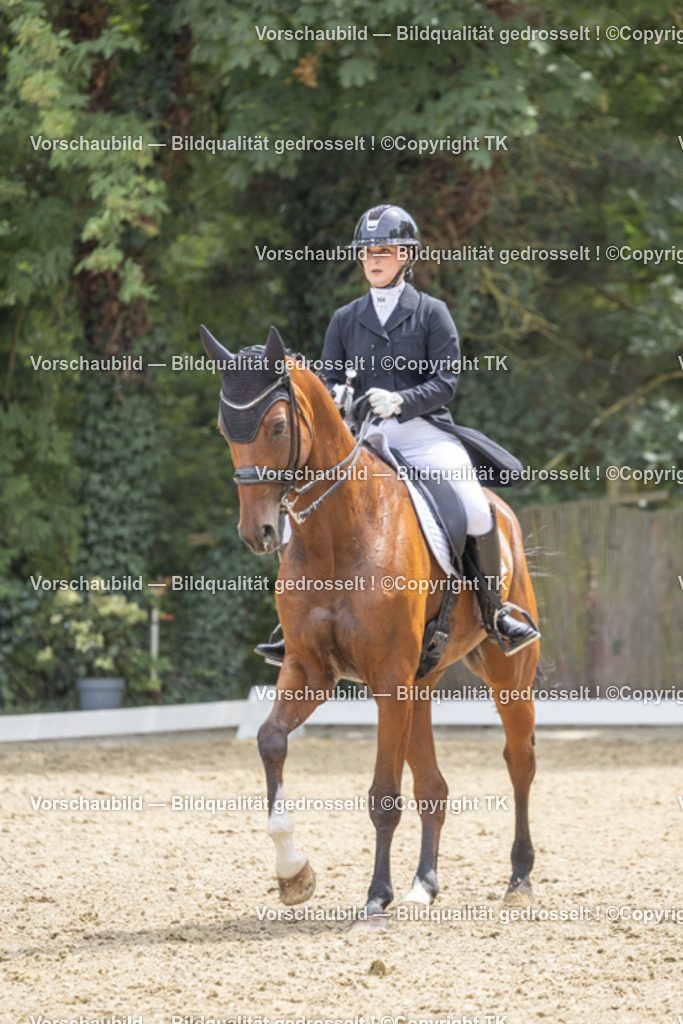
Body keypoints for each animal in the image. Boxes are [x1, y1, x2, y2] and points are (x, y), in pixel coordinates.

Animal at [200, 323, 539, 924]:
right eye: (224, 429)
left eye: (279, 426)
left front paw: (376, 896)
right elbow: (270, 740)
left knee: (519, 761)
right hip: (419, 685)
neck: (338, 533)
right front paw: (294, 874)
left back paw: (518, 878)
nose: (257, 533)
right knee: (433, 786)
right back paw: (424, 884)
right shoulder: (311, 669)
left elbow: (383, 795)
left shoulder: (386, 678)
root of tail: (502, 511)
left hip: (504, 674)